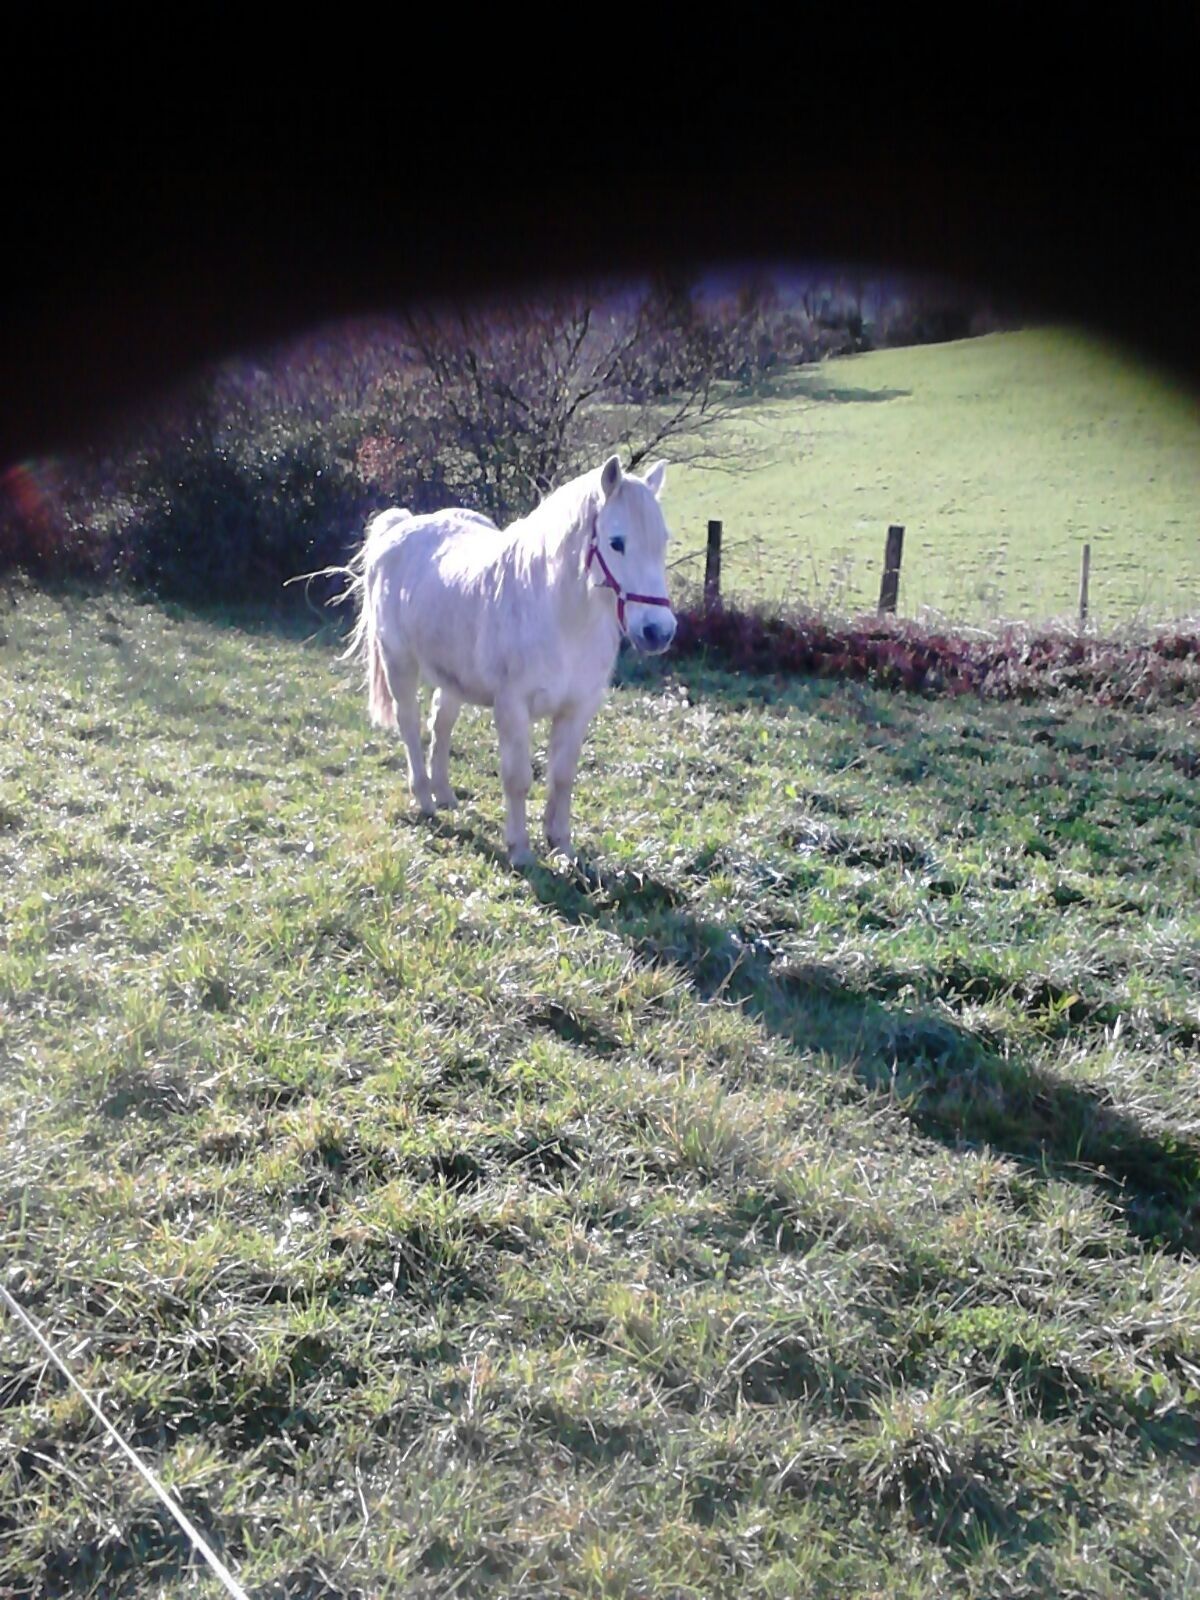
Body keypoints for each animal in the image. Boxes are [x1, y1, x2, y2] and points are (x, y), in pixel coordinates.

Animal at [342, 454, 676, 864]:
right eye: (617, 543)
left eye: (662, 541)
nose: (658, 631)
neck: (561, 617)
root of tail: (400, 526)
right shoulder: (513, 708)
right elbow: (517, 778)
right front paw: (519, 850)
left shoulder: (577, 709)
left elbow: (562, 776)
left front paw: (561, 845)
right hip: (399, 663)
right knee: (409, 723)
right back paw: (425, 799)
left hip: (453, 678)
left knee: (440, 723)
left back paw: (445, 794)